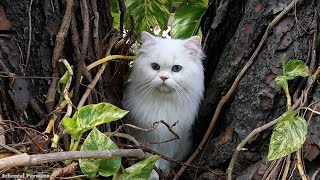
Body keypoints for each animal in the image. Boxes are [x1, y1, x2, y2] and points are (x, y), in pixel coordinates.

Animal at [122, 31, 205, 179]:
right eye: (155, 67)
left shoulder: (172, 138)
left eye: (176, 68)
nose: (163, 78)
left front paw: (163, 170)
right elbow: (150, 157)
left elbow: (164, 157)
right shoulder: (145, 136)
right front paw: (152, 174)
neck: (163, 102)